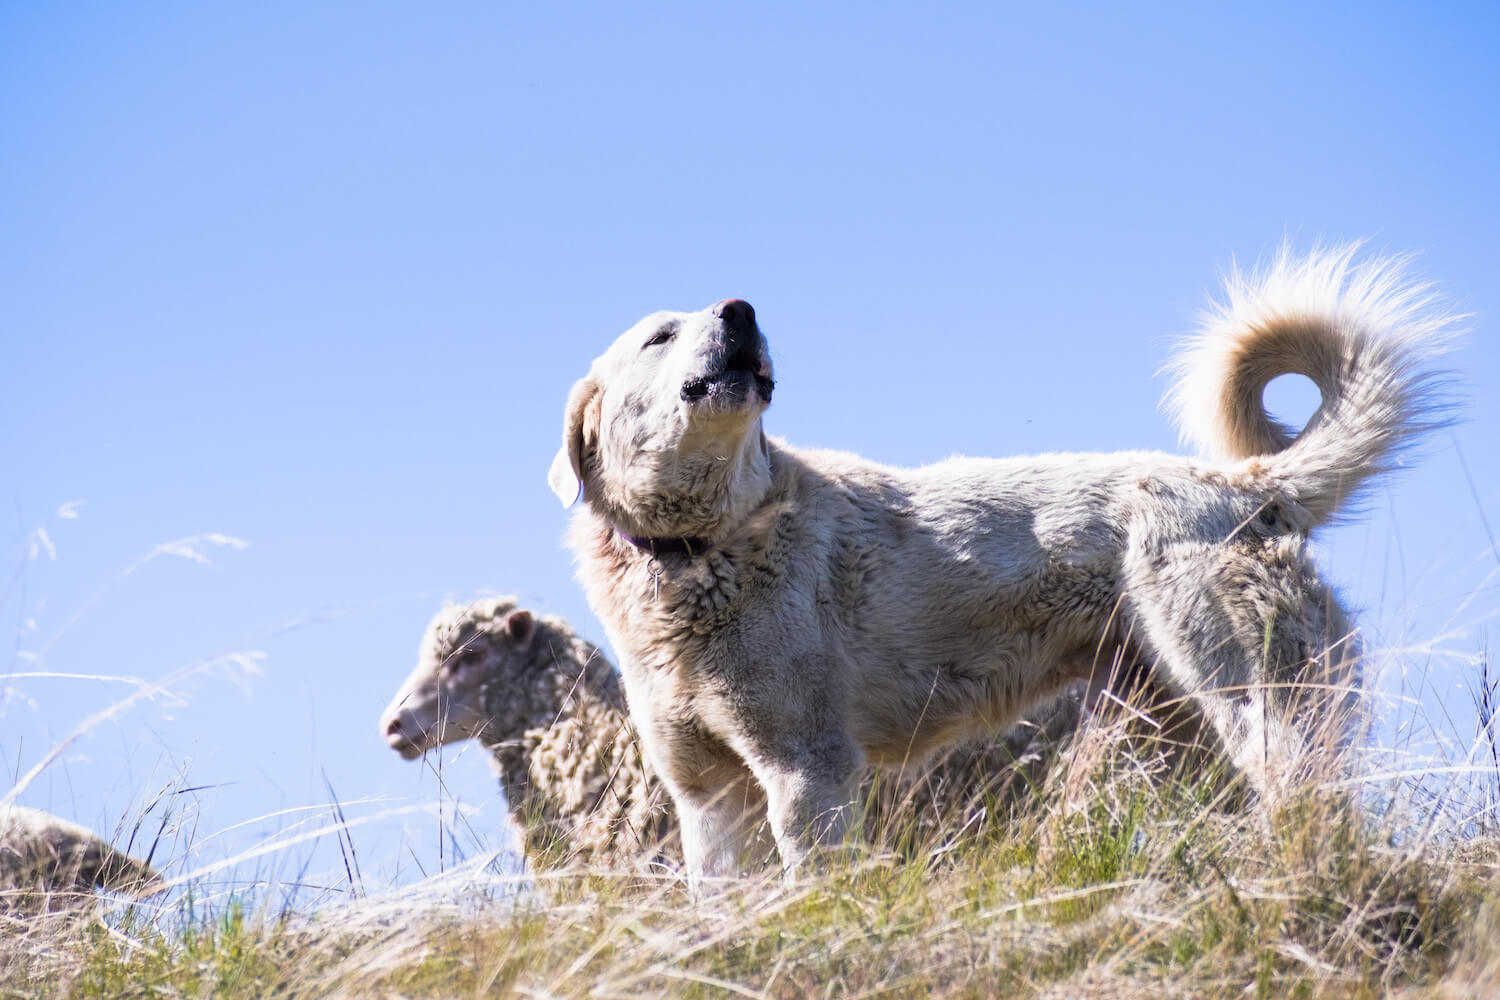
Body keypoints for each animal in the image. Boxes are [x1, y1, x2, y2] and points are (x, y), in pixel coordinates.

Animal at [549, 250, 1452, 881]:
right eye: (659, 336)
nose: (740, 310)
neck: (706, 549)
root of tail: (1249, 484)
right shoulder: (708, 799)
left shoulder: (810, 773)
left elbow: (813, 885)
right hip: (1176, 726)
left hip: (1254, 703)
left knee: (1311, 804)